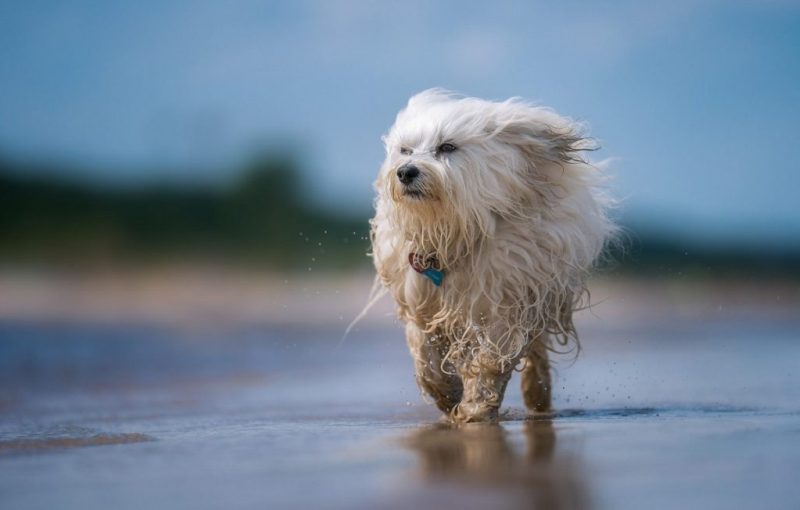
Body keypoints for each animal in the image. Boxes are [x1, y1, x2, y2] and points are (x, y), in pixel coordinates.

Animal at [372, 88, 616, 422]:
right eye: (405, 150)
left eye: (447, 147)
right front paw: (447, 394)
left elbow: (492, 357)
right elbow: (425, 354)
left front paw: (475, 407)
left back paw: (537, 394)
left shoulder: (507, 296)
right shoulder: (420, 298)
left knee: (536, 348)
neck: (457, 231)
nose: (406, 171)